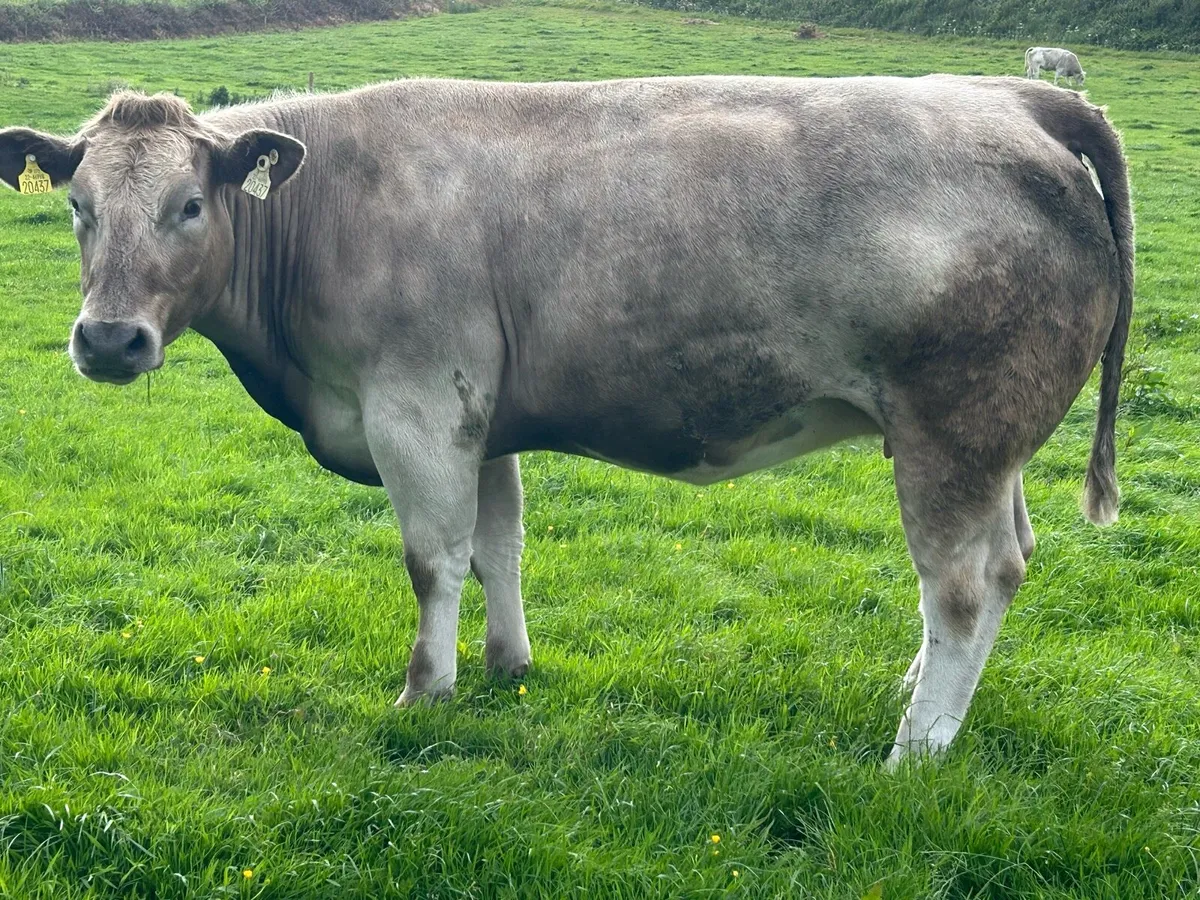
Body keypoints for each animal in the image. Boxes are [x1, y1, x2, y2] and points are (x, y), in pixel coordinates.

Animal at [0, 74, 1133, 764]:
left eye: (190, 207)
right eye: (78, 208)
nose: (109, 340)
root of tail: (1019, 96)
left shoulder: (417, 408)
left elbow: (433, 560)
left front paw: (426, 692)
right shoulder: (482, 420)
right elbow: (497, 545)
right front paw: (507, 667)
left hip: (957, 429)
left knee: (962, 584)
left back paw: (915, 750)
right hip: (991, 445)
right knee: (1006, 564)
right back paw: (914, 694)